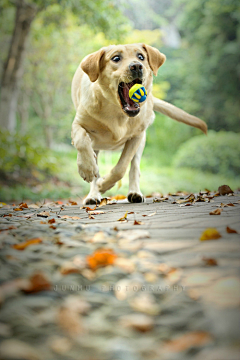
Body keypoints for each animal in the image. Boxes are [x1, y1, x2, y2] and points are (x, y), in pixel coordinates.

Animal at [70, 43, 207, 204]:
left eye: (141, 56)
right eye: (116, 58)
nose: (136, 66)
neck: (117, 112)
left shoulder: (136, 136)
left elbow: (121, 168)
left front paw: (104, 184)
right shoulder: (78, 123)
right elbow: (81, 140)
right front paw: (87, 169)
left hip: (141, 142)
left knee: (134, 168)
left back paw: (134, 192)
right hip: (98, 145)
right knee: (94, 163)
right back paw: (93, 194)